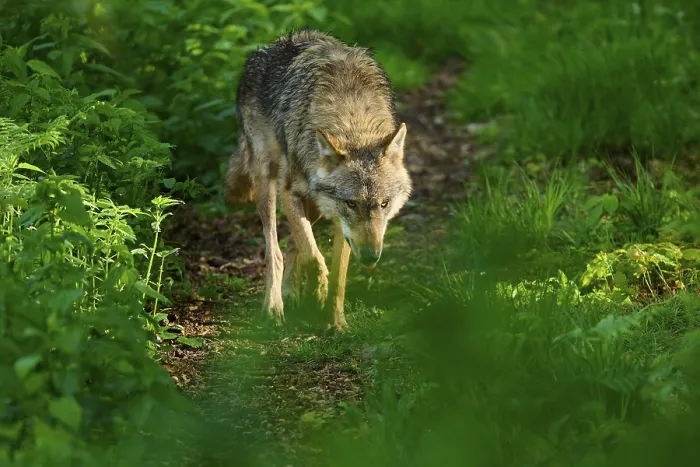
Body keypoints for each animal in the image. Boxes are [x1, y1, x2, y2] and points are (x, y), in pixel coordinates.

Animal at [224, 29, 412, 331]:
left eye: (384, 204)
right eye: (351, 203)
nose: (370, 258)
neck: (352, 122)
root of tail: (269, 47)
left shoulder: (341, 224)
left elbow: (337, 276)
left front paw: (336, 323)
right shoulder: (291, 193)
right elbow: (313, 256)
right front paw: (318, 292)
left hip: (314, 208)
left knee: (292, 246)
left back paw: (292, 295)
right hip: (267, 183)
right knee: (275, 250)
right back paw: (274, 306)